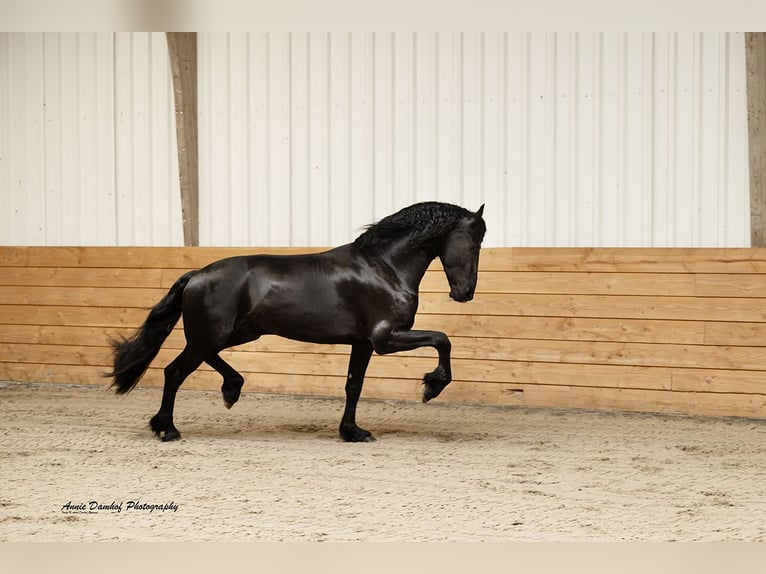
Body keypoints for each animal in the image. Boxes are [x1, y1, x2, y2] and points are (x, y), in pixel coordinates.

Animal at [108, 201, 486, 442]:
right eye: (473, 243)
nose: (465, 293)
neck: (383, 267)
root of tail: (196, 275)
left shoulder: (363, 343)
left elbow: (353, 386)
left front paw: (352, 432)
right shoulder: (385, 338)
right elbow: (442, 339)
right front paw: (431, 386)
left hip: (236, 333)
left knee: (200, 362)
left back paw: (231, 389)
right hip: (212, 335)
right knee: (174, 372)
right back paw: (167, 429)